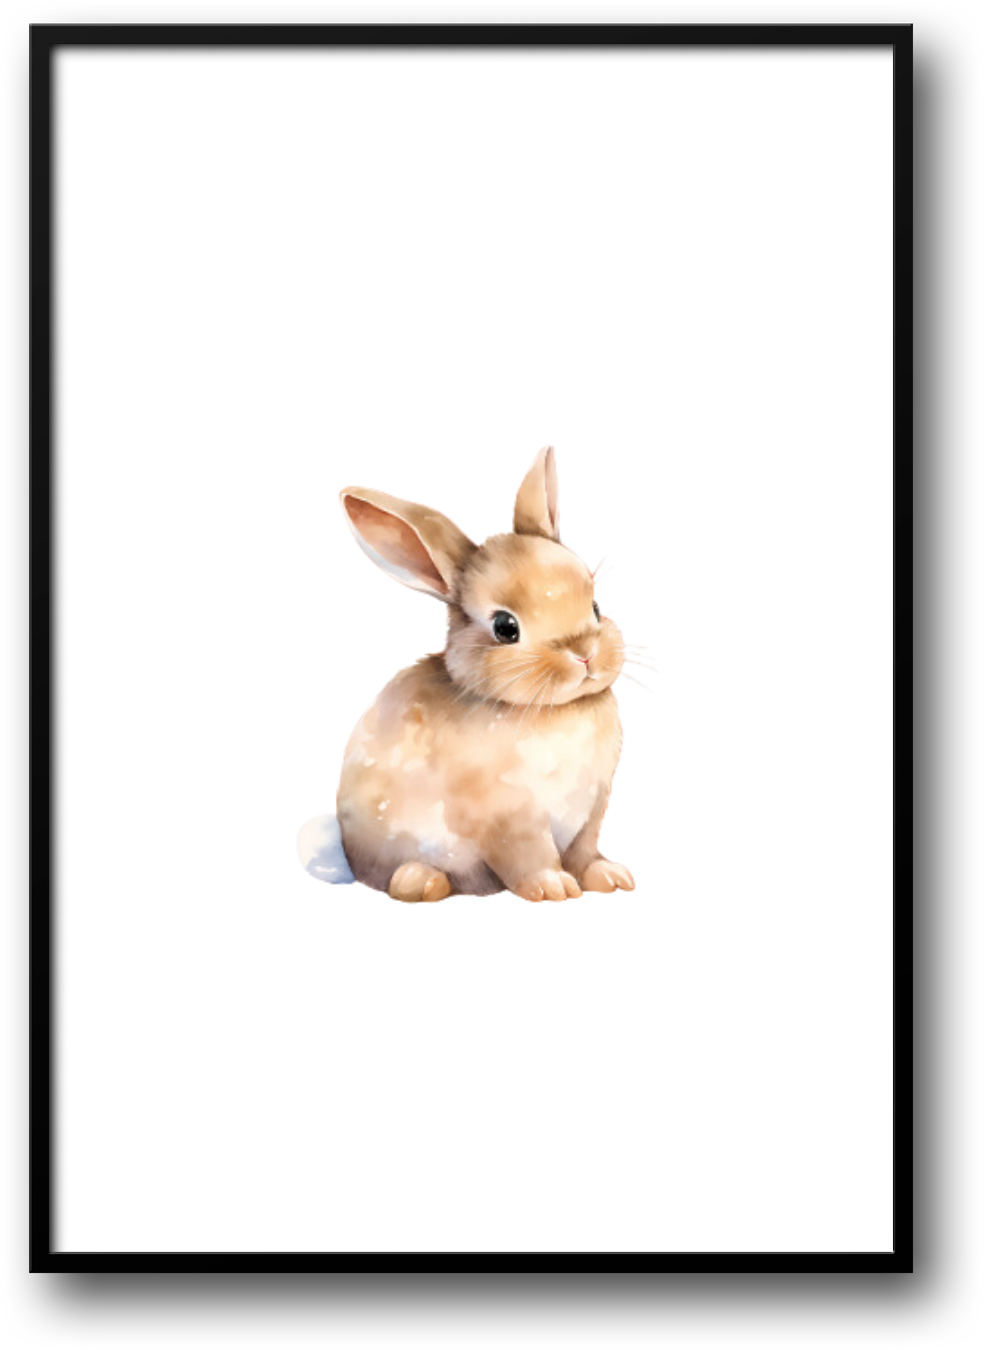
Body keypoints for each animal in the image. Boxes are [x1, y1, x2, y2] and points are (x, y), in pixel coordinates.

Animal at [298, 447, 634, 903]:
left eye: (596, 607)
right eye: (505, 627)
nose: (585, 655)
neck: (549, 709)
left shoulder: (592, 810)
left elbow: (585, 852)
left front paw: (610, 877)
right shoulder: (506, 819)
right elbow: (529, 855)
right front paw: (552, 887)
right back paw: (421, 881)